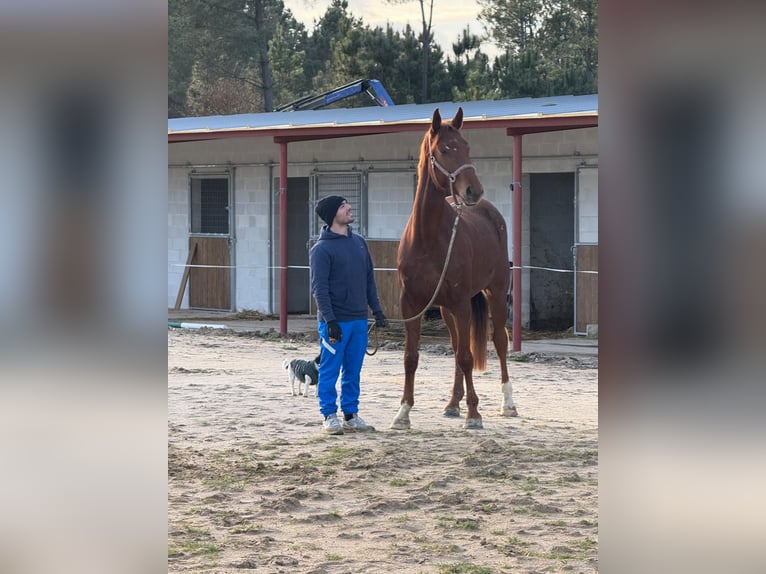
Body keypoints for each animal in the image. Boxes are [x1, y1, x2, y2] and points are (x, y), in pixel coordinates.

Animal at [392, 108, 520, 432]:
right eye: (444, 150)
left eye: (467, 146)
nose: (474, 190)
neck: (427, 238)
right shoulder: (411, 304)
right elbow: (411, 357)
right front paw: (403, 412)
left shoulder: (462, 303)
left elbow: (466, 356)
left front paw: (474, 414)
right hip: (447, 309)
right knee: (455, 343)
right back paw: (452, 403)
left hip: (495, 293)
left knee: (499, 342)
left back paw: (508, 403)